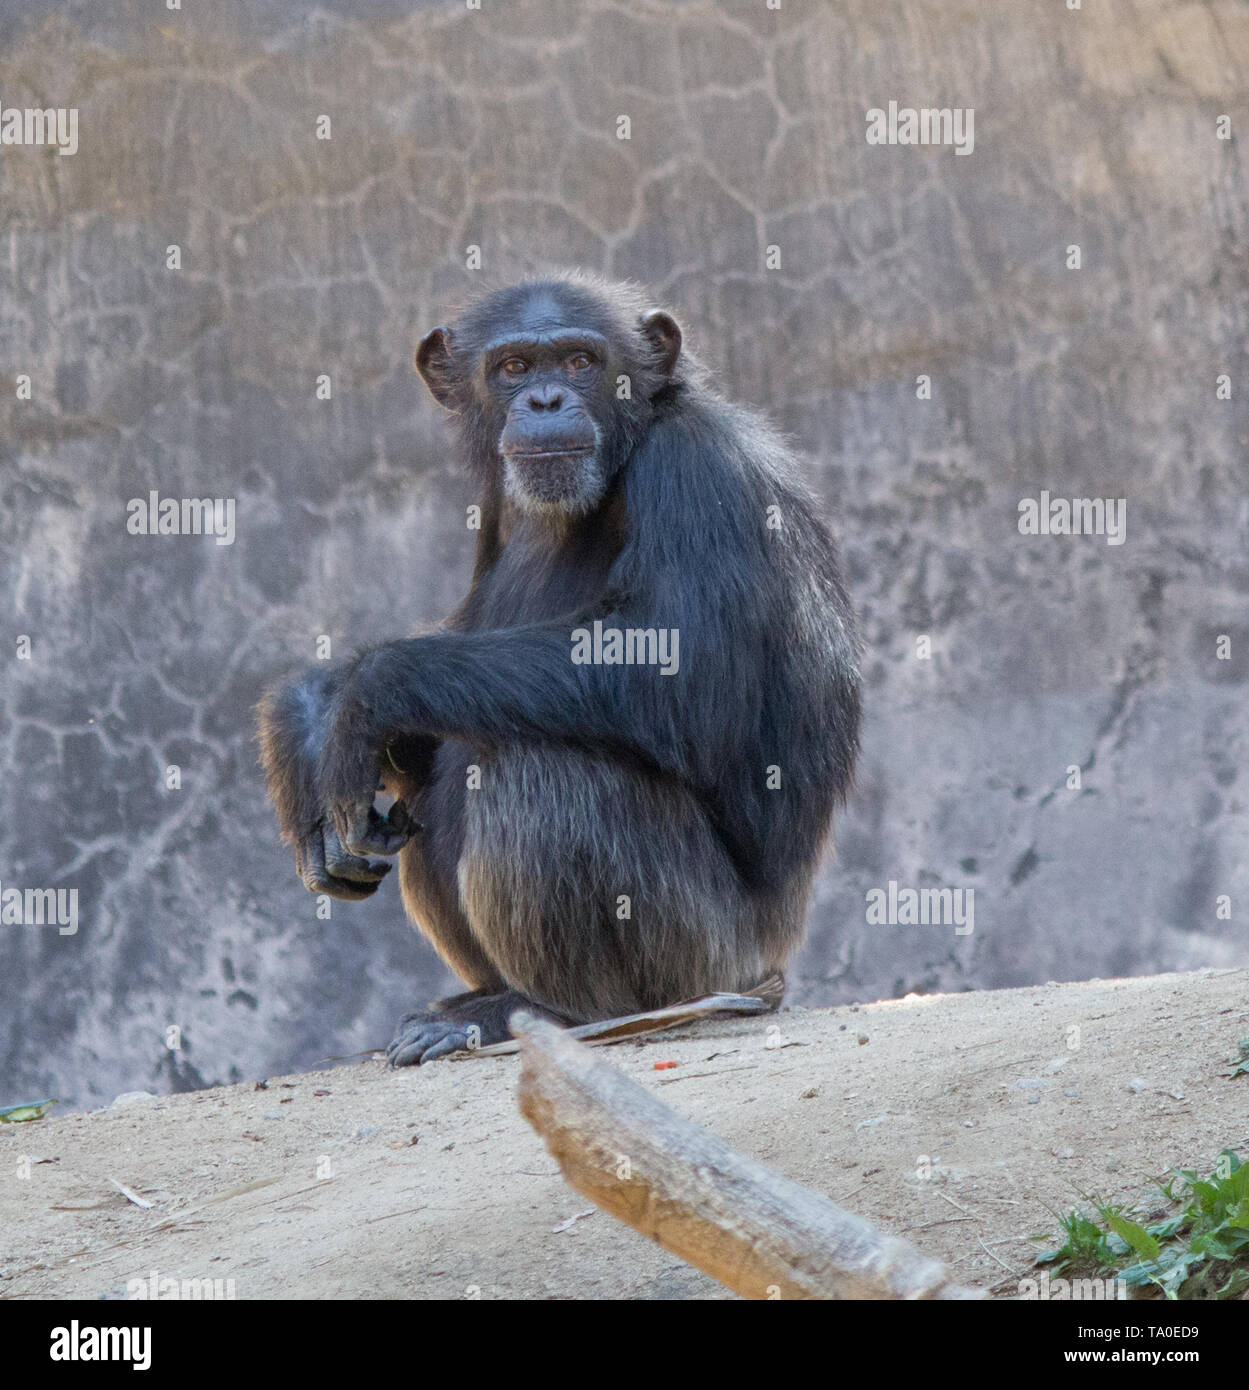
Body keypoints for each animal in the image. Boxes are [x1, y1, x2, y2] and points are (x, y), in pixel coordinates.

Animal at [254, 276, 861, 1067]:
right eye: (513, 367)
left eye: (579, 360)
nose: (545, 400)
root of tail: (771, 973)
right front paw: (305, 723)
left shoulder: (701, 470)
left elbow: (674, 665)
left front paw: (359, 696)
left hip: (707, 955)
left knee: (545, 771)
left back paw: (550, 1009)